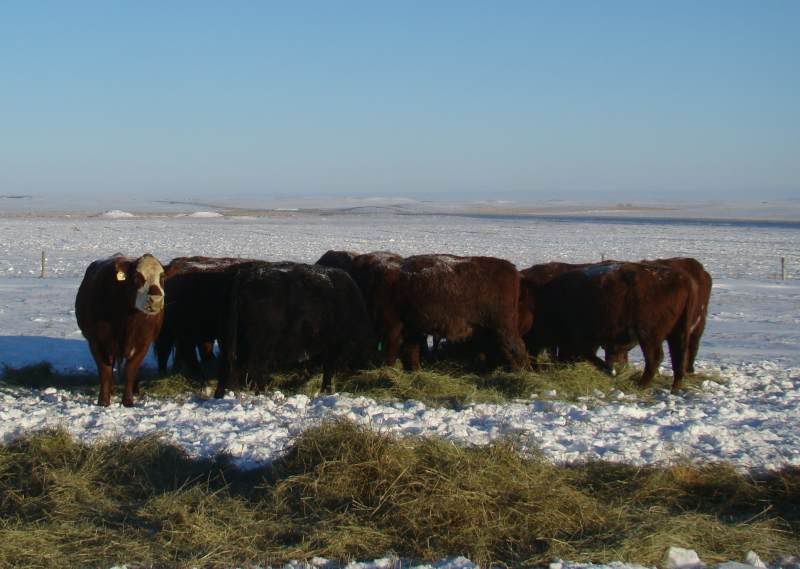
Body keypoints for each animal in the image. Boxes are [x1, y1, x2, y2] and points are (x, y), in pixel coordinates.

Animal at [75, 253, 166, 406]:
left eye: (162, 277)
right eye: (136, 277)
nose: (156, 300)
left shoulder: (143, 343)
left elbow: (130, 370)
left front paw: (128, 400)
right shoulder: (96, 342)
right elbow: (105, 371)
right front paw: (103, 400)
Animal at [216, 261, 377, 397]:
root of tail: (247, 275)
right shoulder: (333, 343)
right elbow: (328, 368)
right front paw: (326, 390)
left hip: (235, 341)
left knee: (231, 366)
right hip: (262, 342)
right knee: (255, 367)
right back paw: (262, 393)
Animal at [528, 261, 698, 392]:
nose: (532, 365)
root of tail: (683, 279)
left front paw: (609, 371)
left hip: (649, 336)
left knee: (655, 358)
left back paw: (640, 385)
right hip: (677, 333)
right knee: (678, 357)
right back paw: (674, 387)